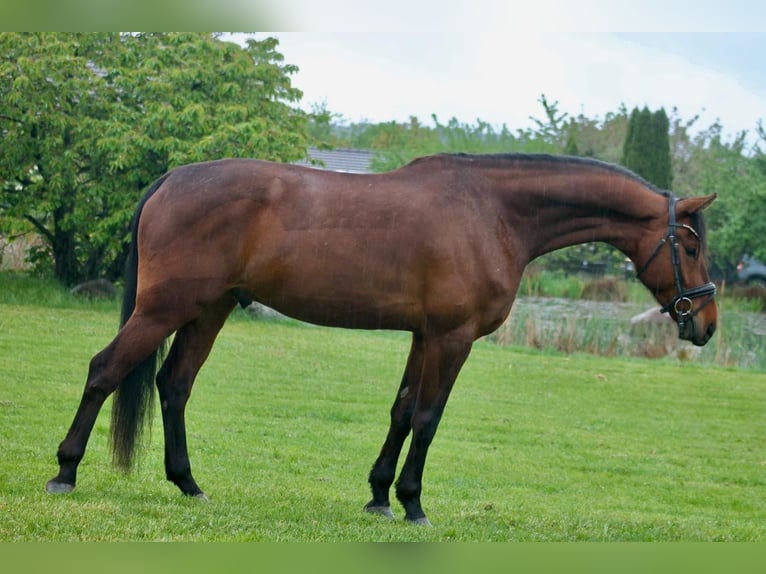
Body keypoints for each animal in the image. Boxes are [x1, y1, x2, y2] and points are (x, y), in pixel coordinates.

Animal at [45, 153, 718, 526]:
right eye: (689, 245)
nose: (705, 324)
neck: (494, 213)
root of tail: (173, 178)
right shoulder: (452, 339)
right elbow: (427, 417)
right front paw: (414, 504)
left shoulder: (424, 336)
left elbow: (399, 411)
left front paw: (378, 498)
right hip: (165, 307)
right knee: (105, 370)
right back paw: (65, 472)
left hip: (208, 309)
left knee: (174, 384)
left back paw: (188, 483)